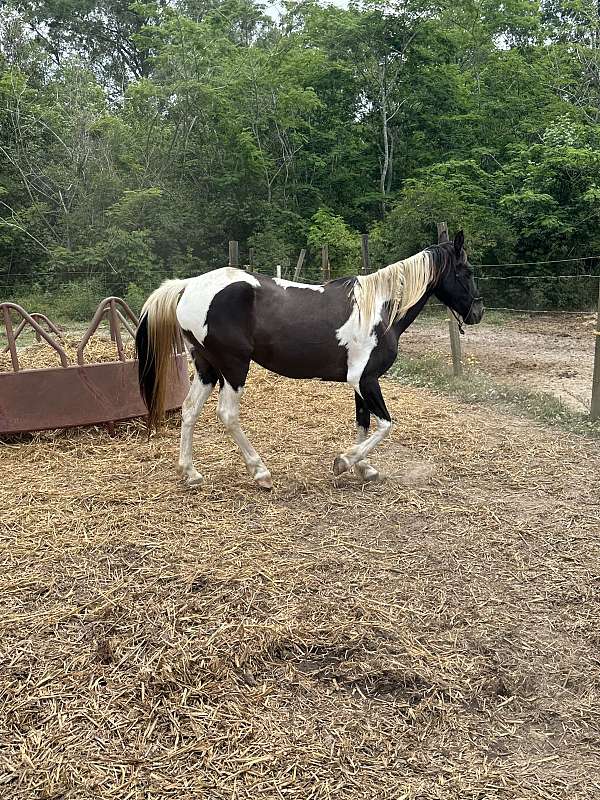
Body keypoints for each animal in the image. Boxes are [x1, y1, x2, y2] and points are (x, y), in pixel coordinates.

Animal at [135, 231, 482, 490]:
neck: (380, 310)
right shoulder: (365, 379)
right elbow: (385, 425)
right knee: (227, 414)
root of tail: (187, 286)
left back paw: (190, 473)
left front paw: (364, 468)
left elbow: (363, 423)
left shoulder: (360, 382)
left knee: (189, 410)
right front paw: (344, 462)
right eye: (466, 271)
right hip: (234, 367)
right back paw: (260, 472)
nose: (477, 312)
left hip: (207, 367)